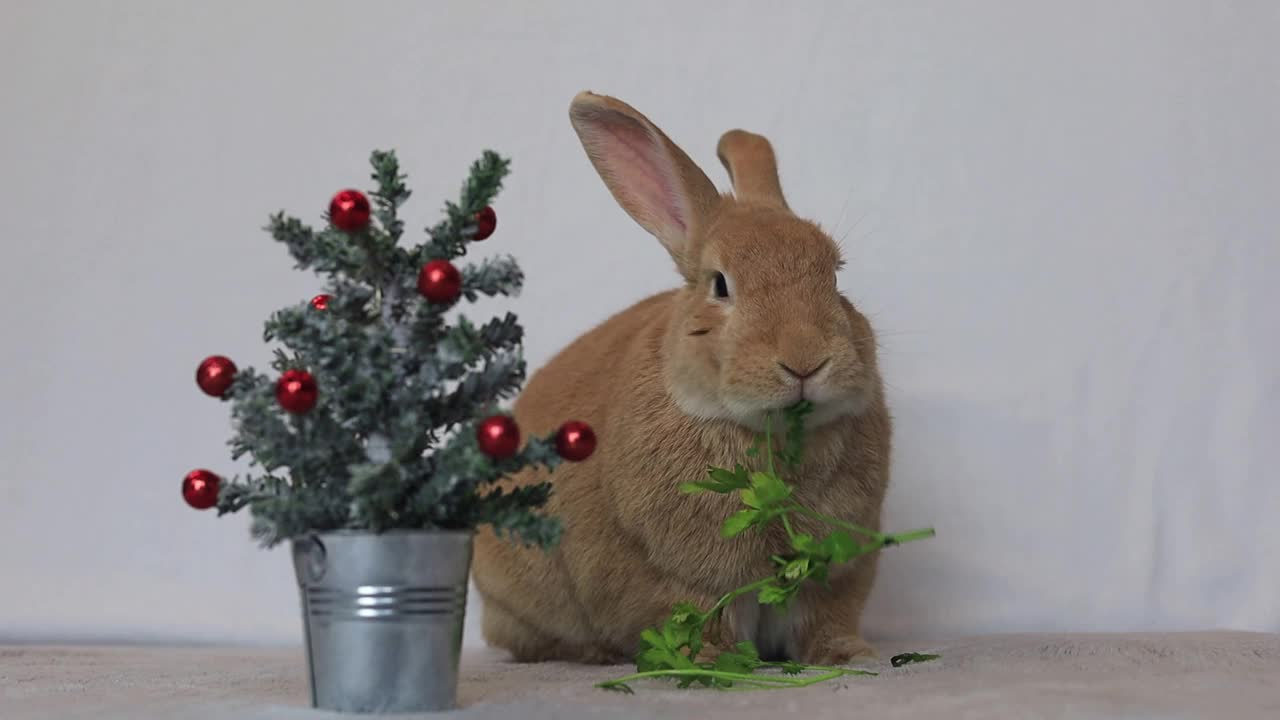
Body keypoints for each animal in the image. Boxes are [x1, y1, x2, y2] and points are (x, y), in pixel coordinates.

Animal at [471, 92, 890, 666]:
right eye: (720, 285)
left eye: (834, 276)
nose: (805, 361)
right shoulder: (670, 577)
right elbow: (697, 620)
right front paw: (714, 662)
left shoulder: (840, 573)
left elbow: (825, 621)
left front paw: (849, 656)